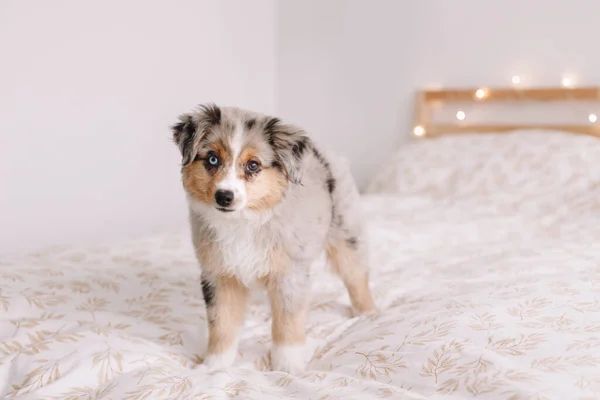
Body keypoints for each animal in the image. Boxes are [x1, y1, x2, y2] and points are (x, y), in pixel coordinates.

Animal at [172, 104, 375, 373]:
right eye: (213, 159)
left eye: (253, 165)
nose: (224, 196)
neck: (243, 222)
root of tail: (321, 151)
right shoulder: (219, 274)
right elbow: (221, 324)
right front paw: (215, 365)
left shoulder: (289, 274)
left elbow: (287, 323)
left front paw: (287, 367)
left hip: (346, 230)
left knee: (356, 274)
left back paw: (368, 313)